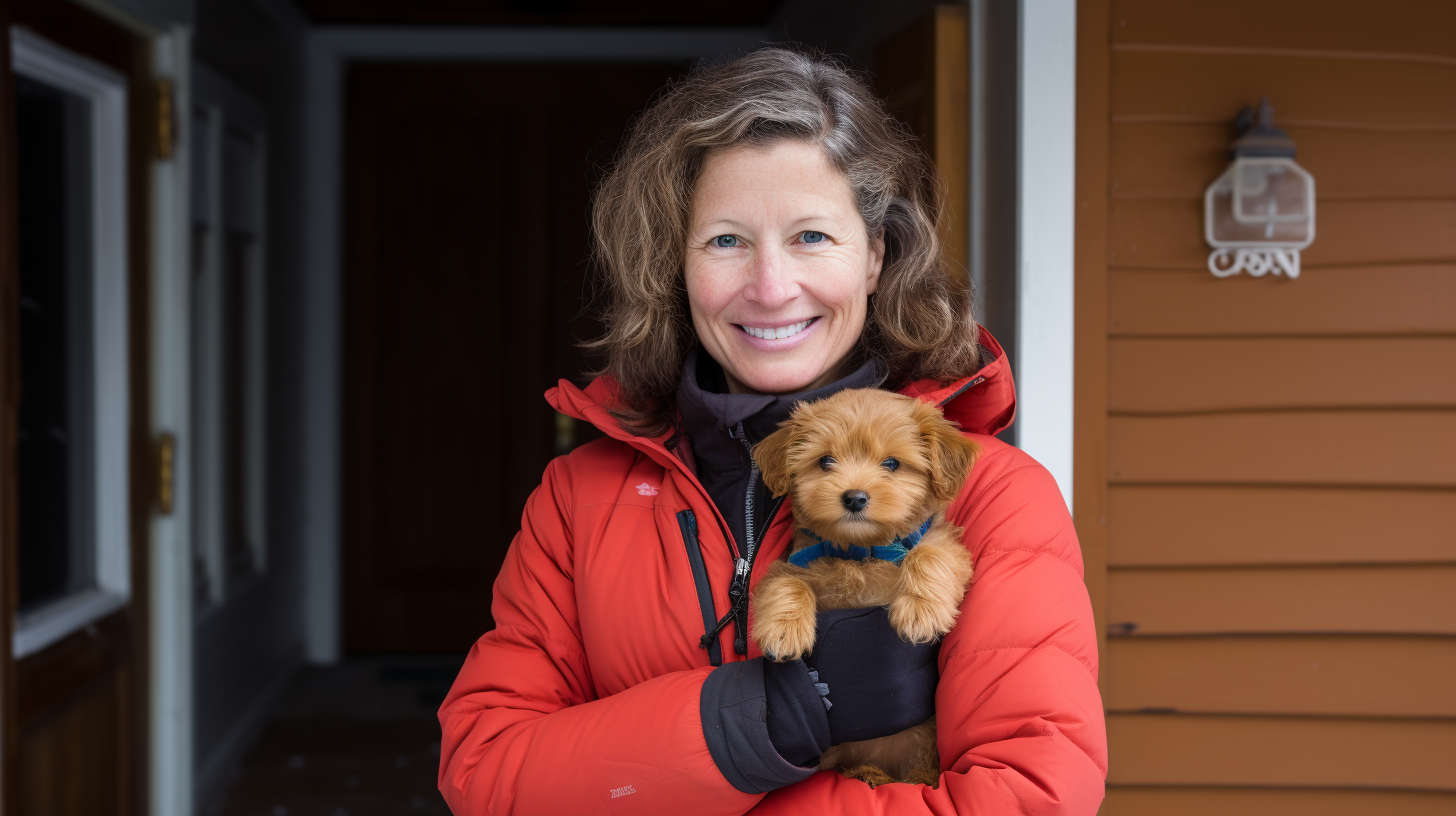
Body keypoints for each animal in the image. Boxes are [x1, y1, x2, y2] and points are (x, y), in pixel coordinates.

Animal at [751, 387, 978, 786]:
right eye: (825, 460)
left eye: (891, 463)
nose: (854, 497)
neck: (861, 552)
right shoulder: (797, 560)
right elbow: (786, 581)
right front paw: (783, 629)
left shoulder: (946, 545)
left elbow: (929, 552)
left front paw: (920, 610)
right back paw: (866, 772)